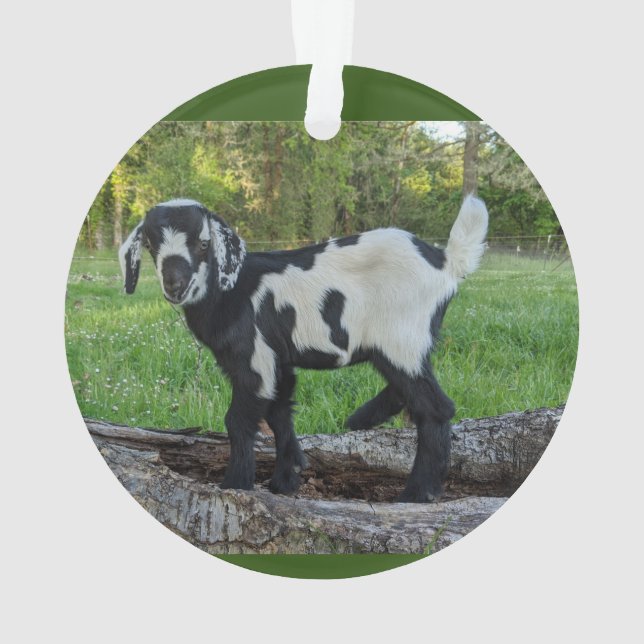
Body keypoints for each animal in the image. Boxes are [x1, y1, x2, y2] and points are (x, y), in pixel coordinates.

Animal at [119, 196, 488, 502]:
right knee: (410, 390)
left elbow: (238, 419)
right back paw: (363, 418)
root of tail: (445, 261)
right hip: (404, 343)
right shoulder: (278, 359)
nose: (175, 284)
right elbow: (280, 411)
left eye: (203, 243)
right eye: (150, 244)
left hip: (400, 337)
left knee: (434, 406)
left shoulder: (254, 357)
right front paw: (287, 477)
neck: (231, 290)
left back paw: (418, 492)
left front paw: (235, 484)